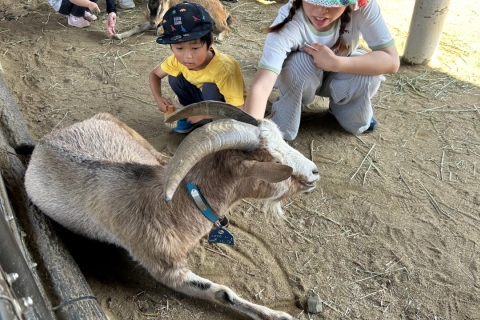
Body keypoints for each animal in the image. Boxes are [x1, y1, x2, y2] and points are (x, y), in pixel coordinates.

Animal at [24, 102, 320, 320]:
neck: (173, 207)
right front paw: (278, 315)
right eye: (273, 160)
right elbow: (222, 292)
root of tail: (48, 139)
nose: (314, 172)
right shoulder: (165, 267)